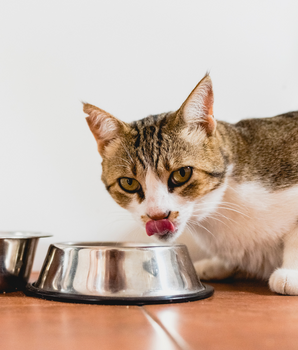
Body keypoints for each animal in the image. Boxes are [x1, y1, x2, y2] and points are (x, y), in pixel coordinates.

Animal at [82, 74, 298, 296]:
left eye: (182, 173)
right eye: (129, 183)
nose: (157, 215)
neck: (221, 203)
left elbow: (294, 236)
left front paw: (290, 274)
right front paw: (218, 264)